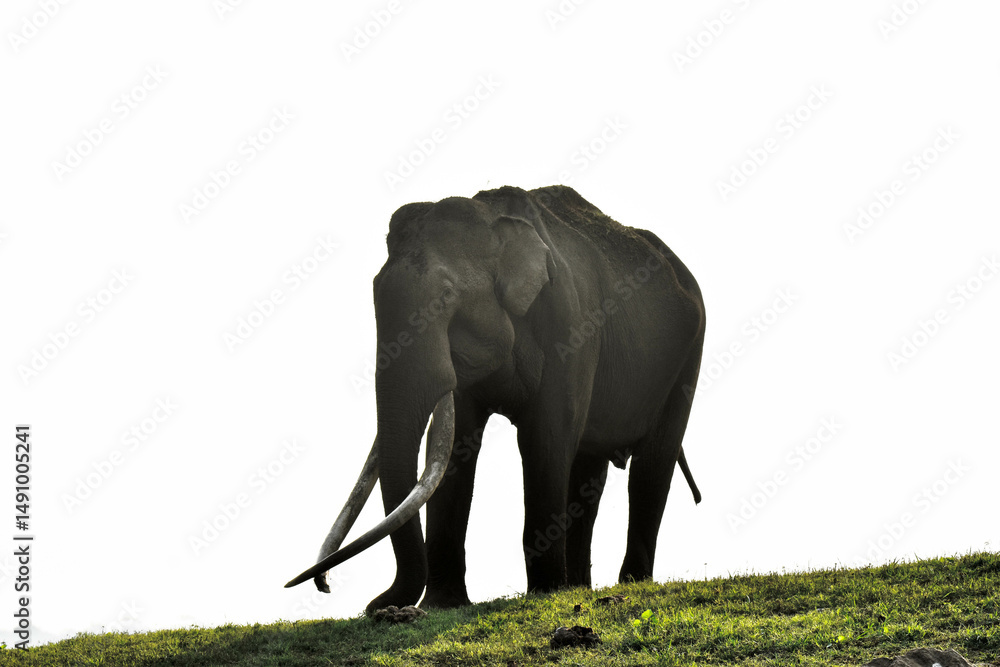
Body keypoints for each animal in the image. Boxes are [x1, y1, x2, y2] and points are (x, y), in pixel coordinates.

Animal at [285, 185, 705, 615]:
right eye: (372, 293)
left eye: (446, 296)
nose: (372, 605)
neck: (493, 217)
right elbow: (454, 447)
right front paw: (443, 605)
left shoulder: (572, 326)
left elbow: (545, 439)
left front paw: (544, 593)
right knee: (590, 470)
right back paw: (579, 588)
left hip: (688, 356)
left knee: (652, 465)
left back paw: (627, 583)